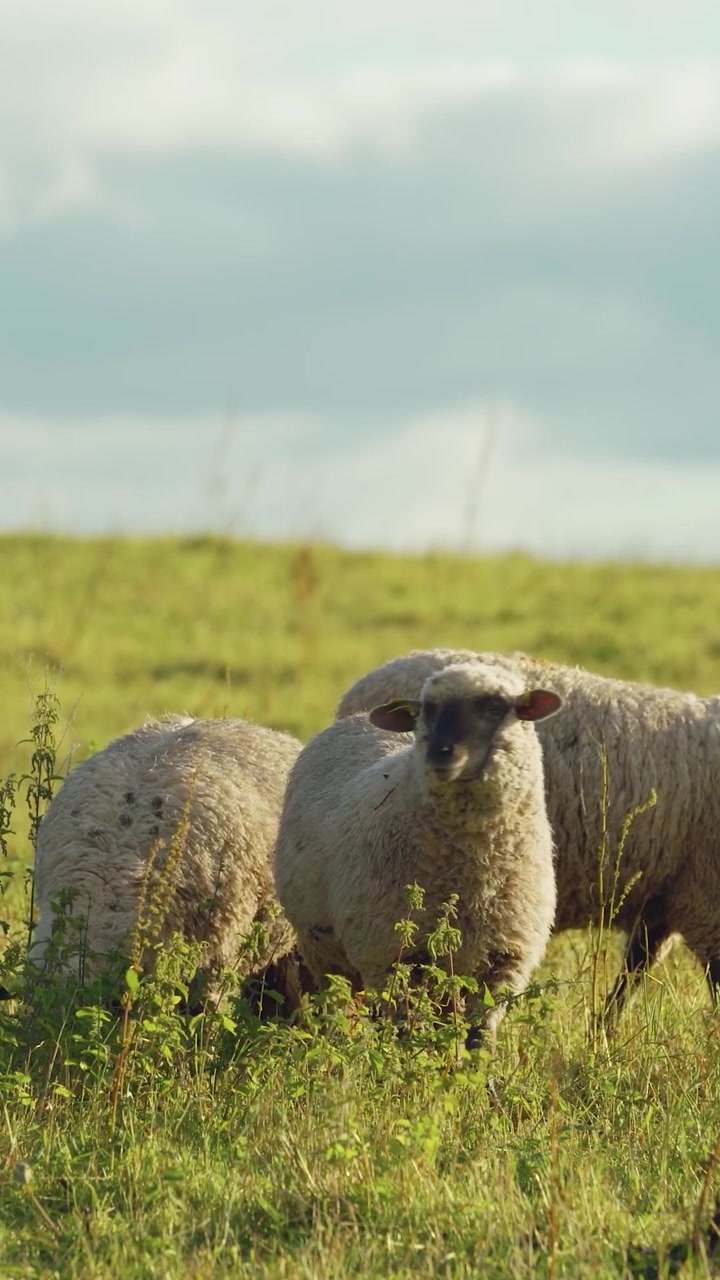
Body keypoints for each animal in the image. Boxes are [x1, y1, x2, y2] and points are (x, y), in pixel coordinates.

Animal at [274, 661, 562, 1045]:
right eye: (427, 710)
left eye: (496, 707)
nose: (440, 753)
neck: (470, 871)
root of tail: (358, 718)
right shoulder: (390, 953)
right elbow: (407, 1034)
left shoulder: (505, 961)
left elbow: (478, 1038)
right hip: (324, 948)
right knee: (340, 1005)